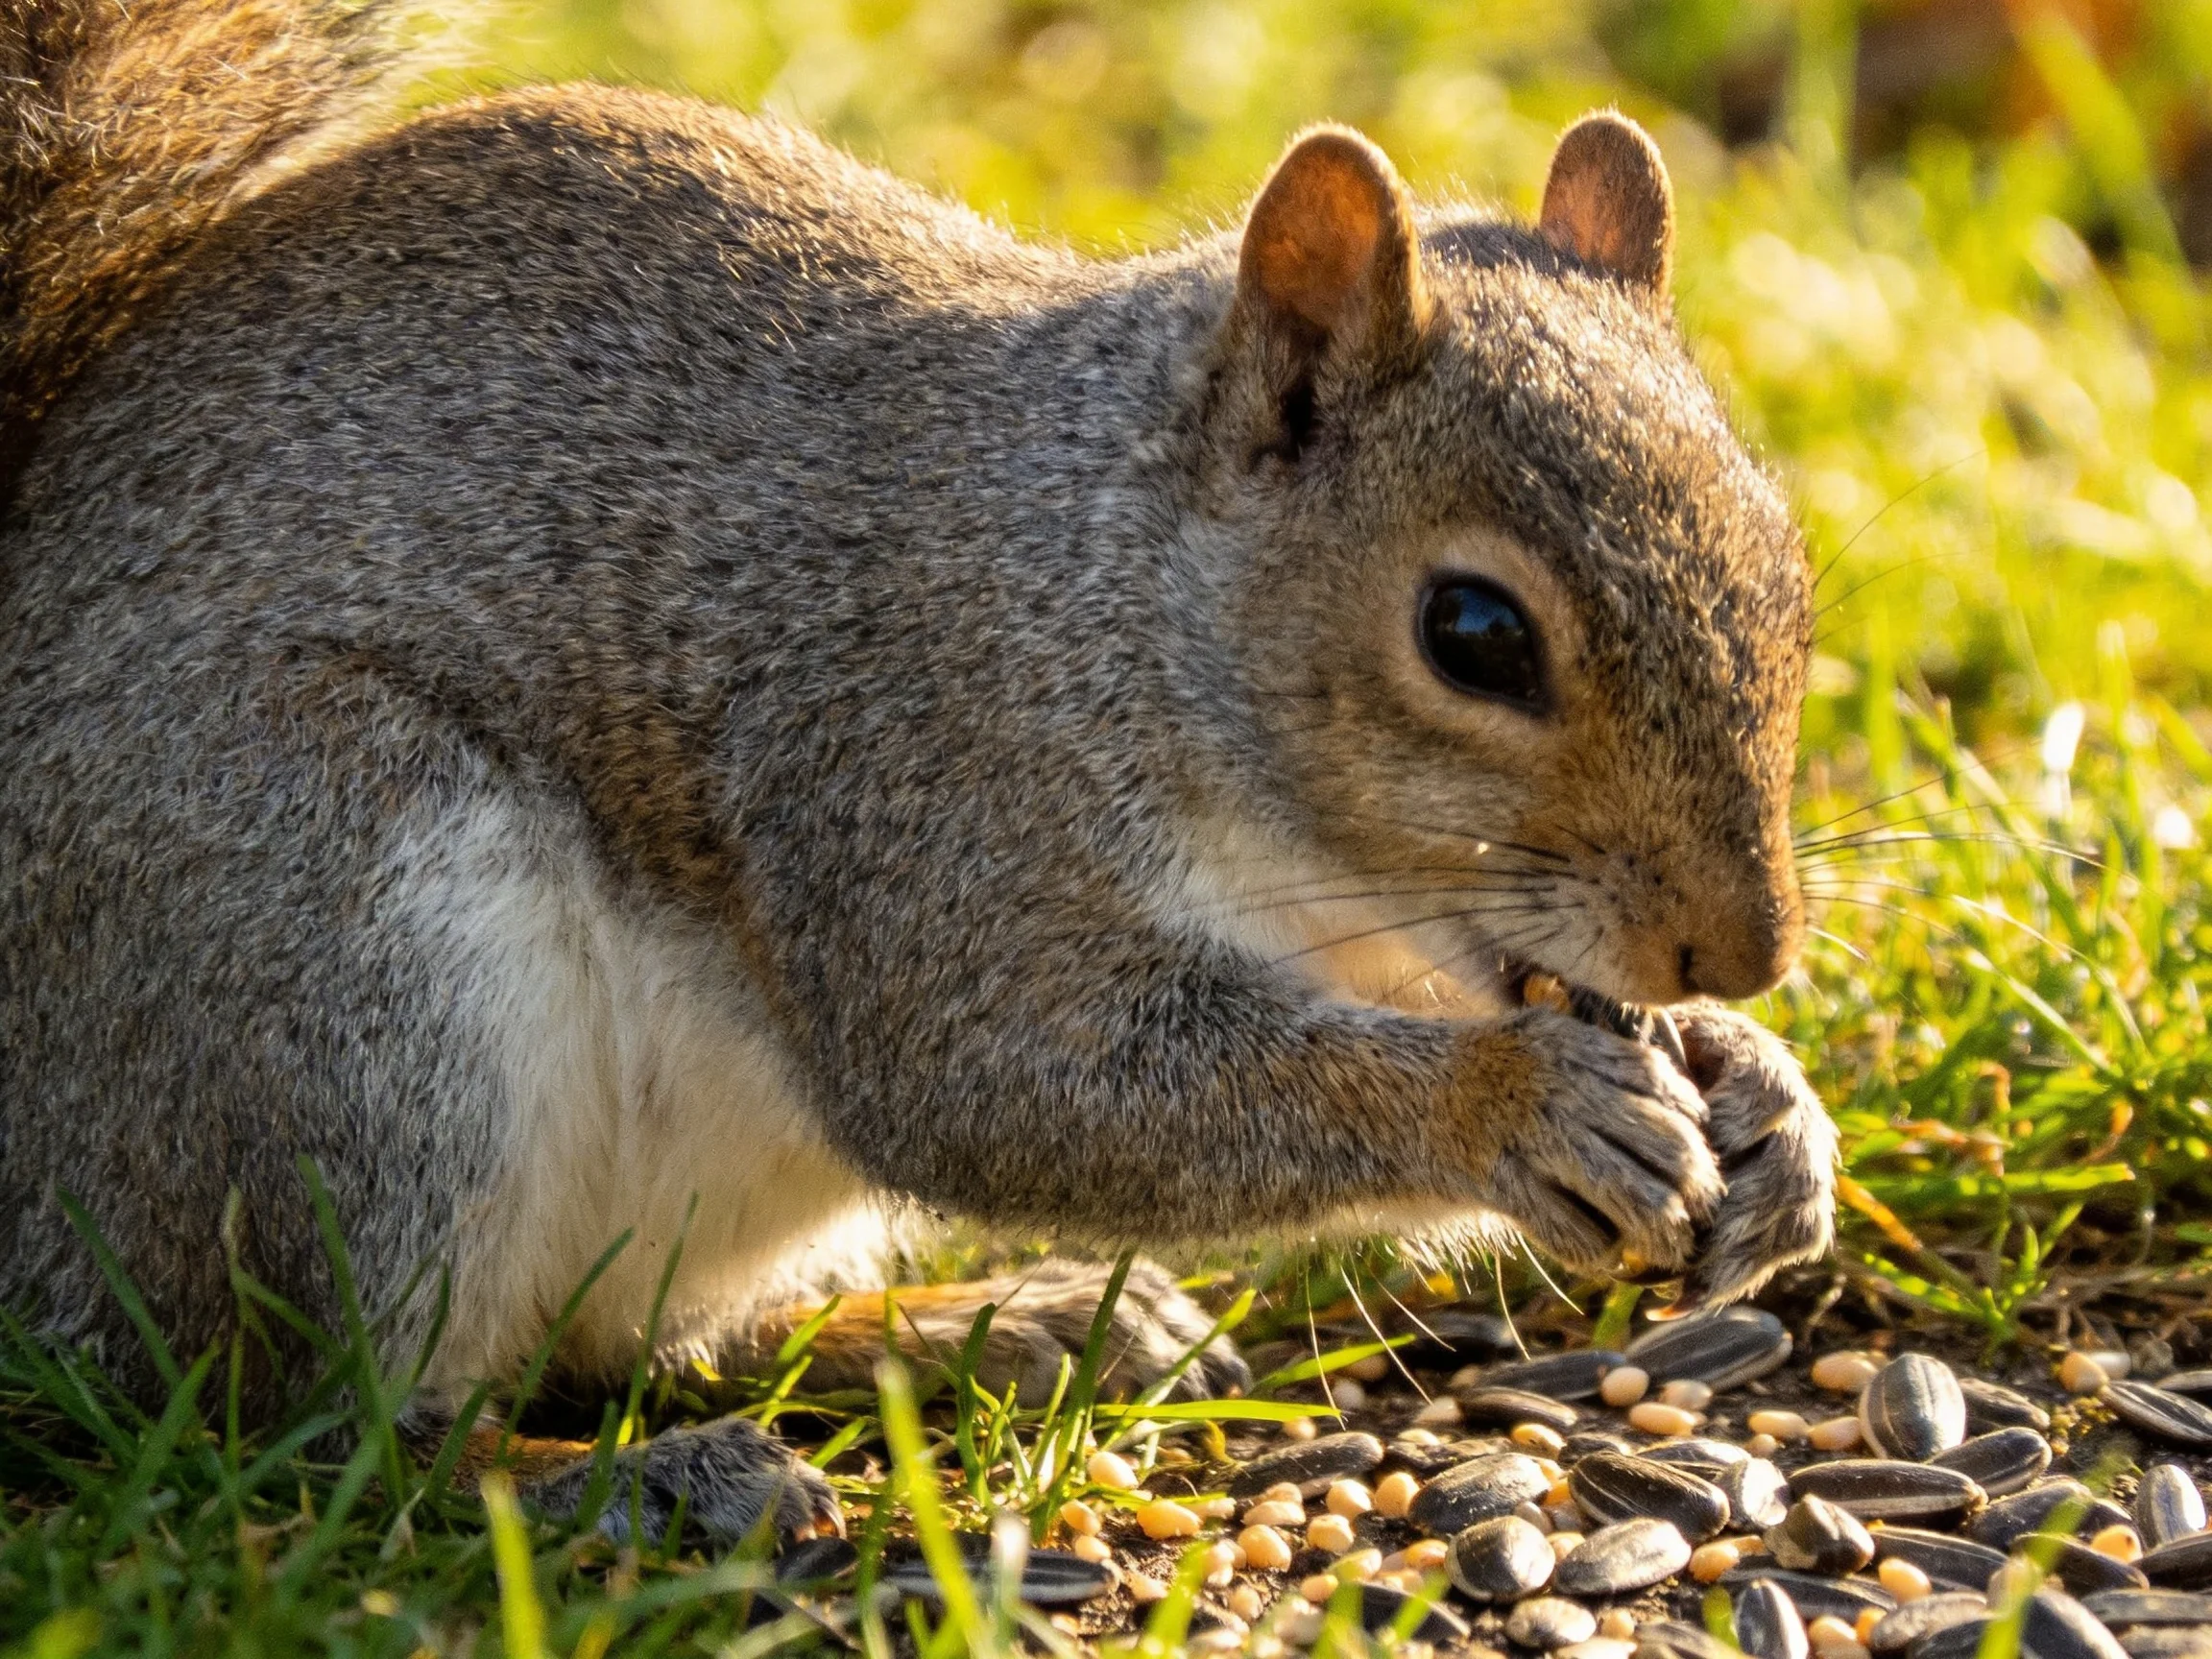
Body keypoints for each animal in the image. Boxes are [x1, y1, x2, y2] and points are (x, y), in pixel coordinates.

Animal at [0, 0, 1837, 1542]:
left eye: (1786, 560)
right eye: (1471, 632)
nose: (1741, 949)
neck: (1105, 578)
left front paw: (1760, 1096)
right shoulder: (907, 777)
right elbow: (1000, 1084)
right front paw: (1525, 1109)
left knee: (632, 1335)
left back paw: (990, 1324)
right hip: (330, 967)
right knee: (300, 1431)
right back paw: (624, 1481)